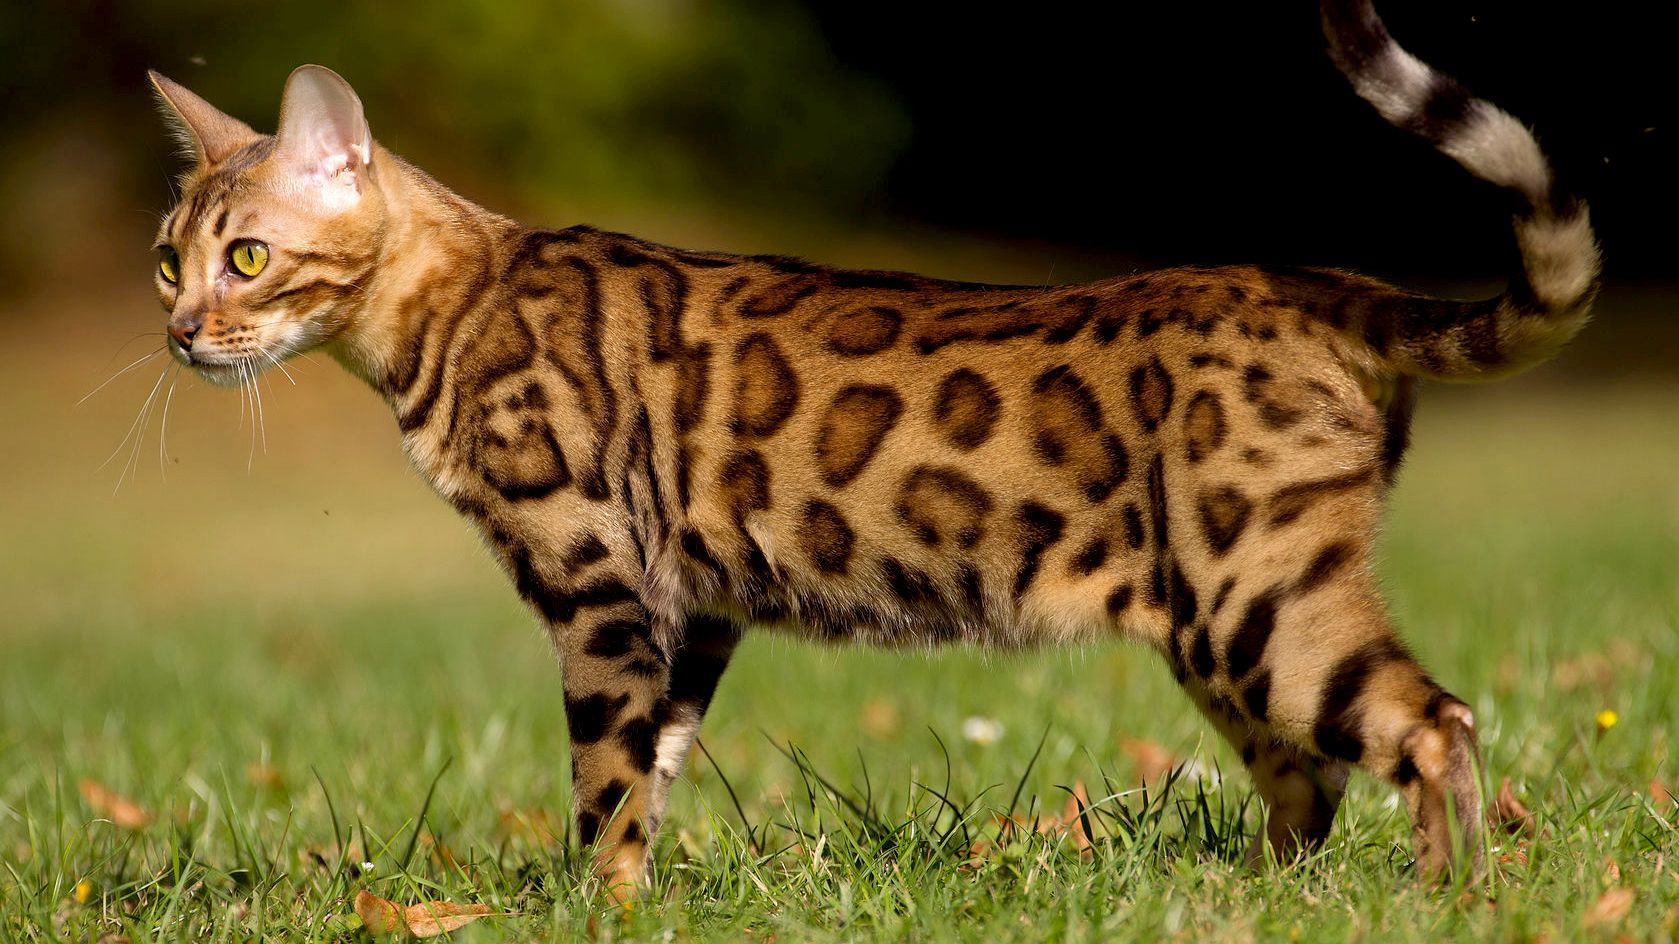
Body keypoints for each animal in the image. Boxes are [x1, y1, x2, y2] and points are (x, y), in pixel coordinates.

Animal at [147, 0, 1598, 886]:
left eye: (247, 257)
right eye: (168, 259)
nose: (179, 333)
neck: (453, 302)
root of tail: (1304, 282)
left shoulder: (596, 580)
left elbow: (606, 775)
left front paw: (597, 901)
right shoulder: (688, 604)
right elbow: (656, 757)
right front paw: (636, 885)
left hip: (1255, 593)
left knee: (1428, 721)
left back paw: (1435, 895)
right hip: (1217, 615)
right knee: (1308, 775)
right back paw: (1259, 896)